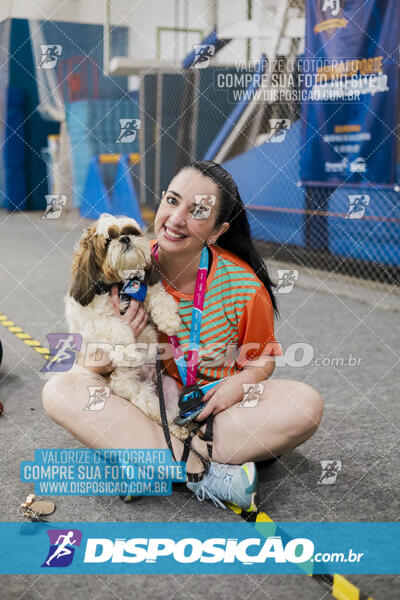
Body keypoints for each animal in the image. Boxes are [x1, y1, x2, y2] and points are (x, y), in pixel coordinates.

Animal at [66, 213, 188, 438]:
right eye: (107, 240)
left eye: (131, 232)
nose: (124, 239)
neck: (120, 285)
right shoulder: (94, 322)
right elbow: (117, 329)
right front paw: (129, 353)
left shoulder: (144, 287)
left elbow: (158, 296)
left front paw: (169, 321)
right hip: (132, 388)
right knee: (154, 408)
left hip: (169, 389)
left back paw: (180, 428)